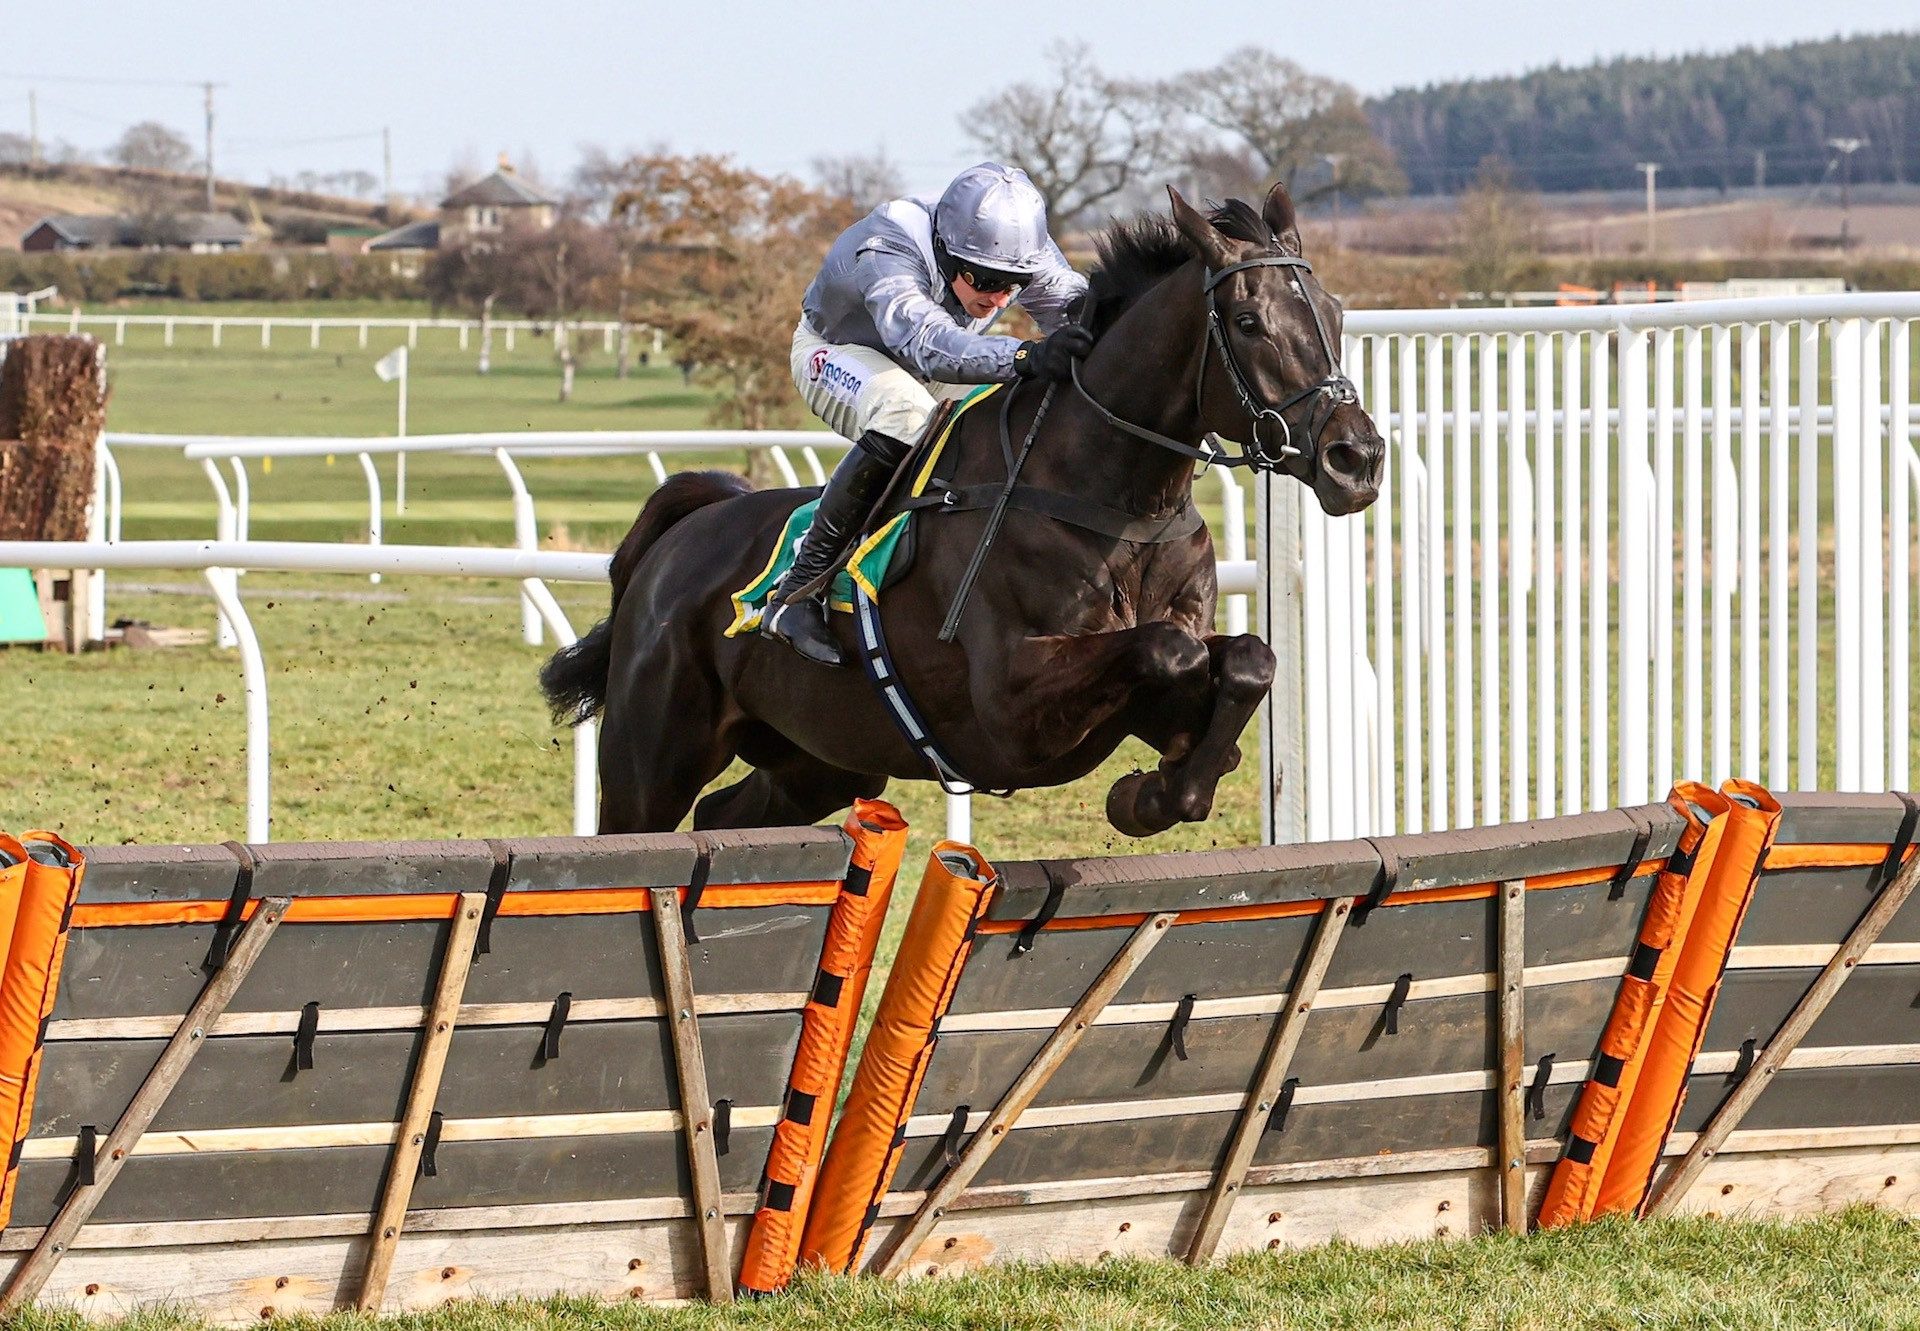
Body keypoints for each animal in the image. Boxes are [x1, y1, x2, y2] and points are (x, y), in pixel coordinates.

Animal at [541, 184, 1382, 829]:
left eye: (1336, 313)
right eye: (1248, 322)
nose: (1359, 458)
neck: (1110, 501)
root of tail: (685, 531)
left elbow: (1246, 659)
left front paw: (1173, 781)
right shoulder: (1010, 708)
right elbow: (1166, 651)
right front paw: (1147, 795)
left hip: (821, 760)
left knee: (724, 819)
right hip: (651, 763)